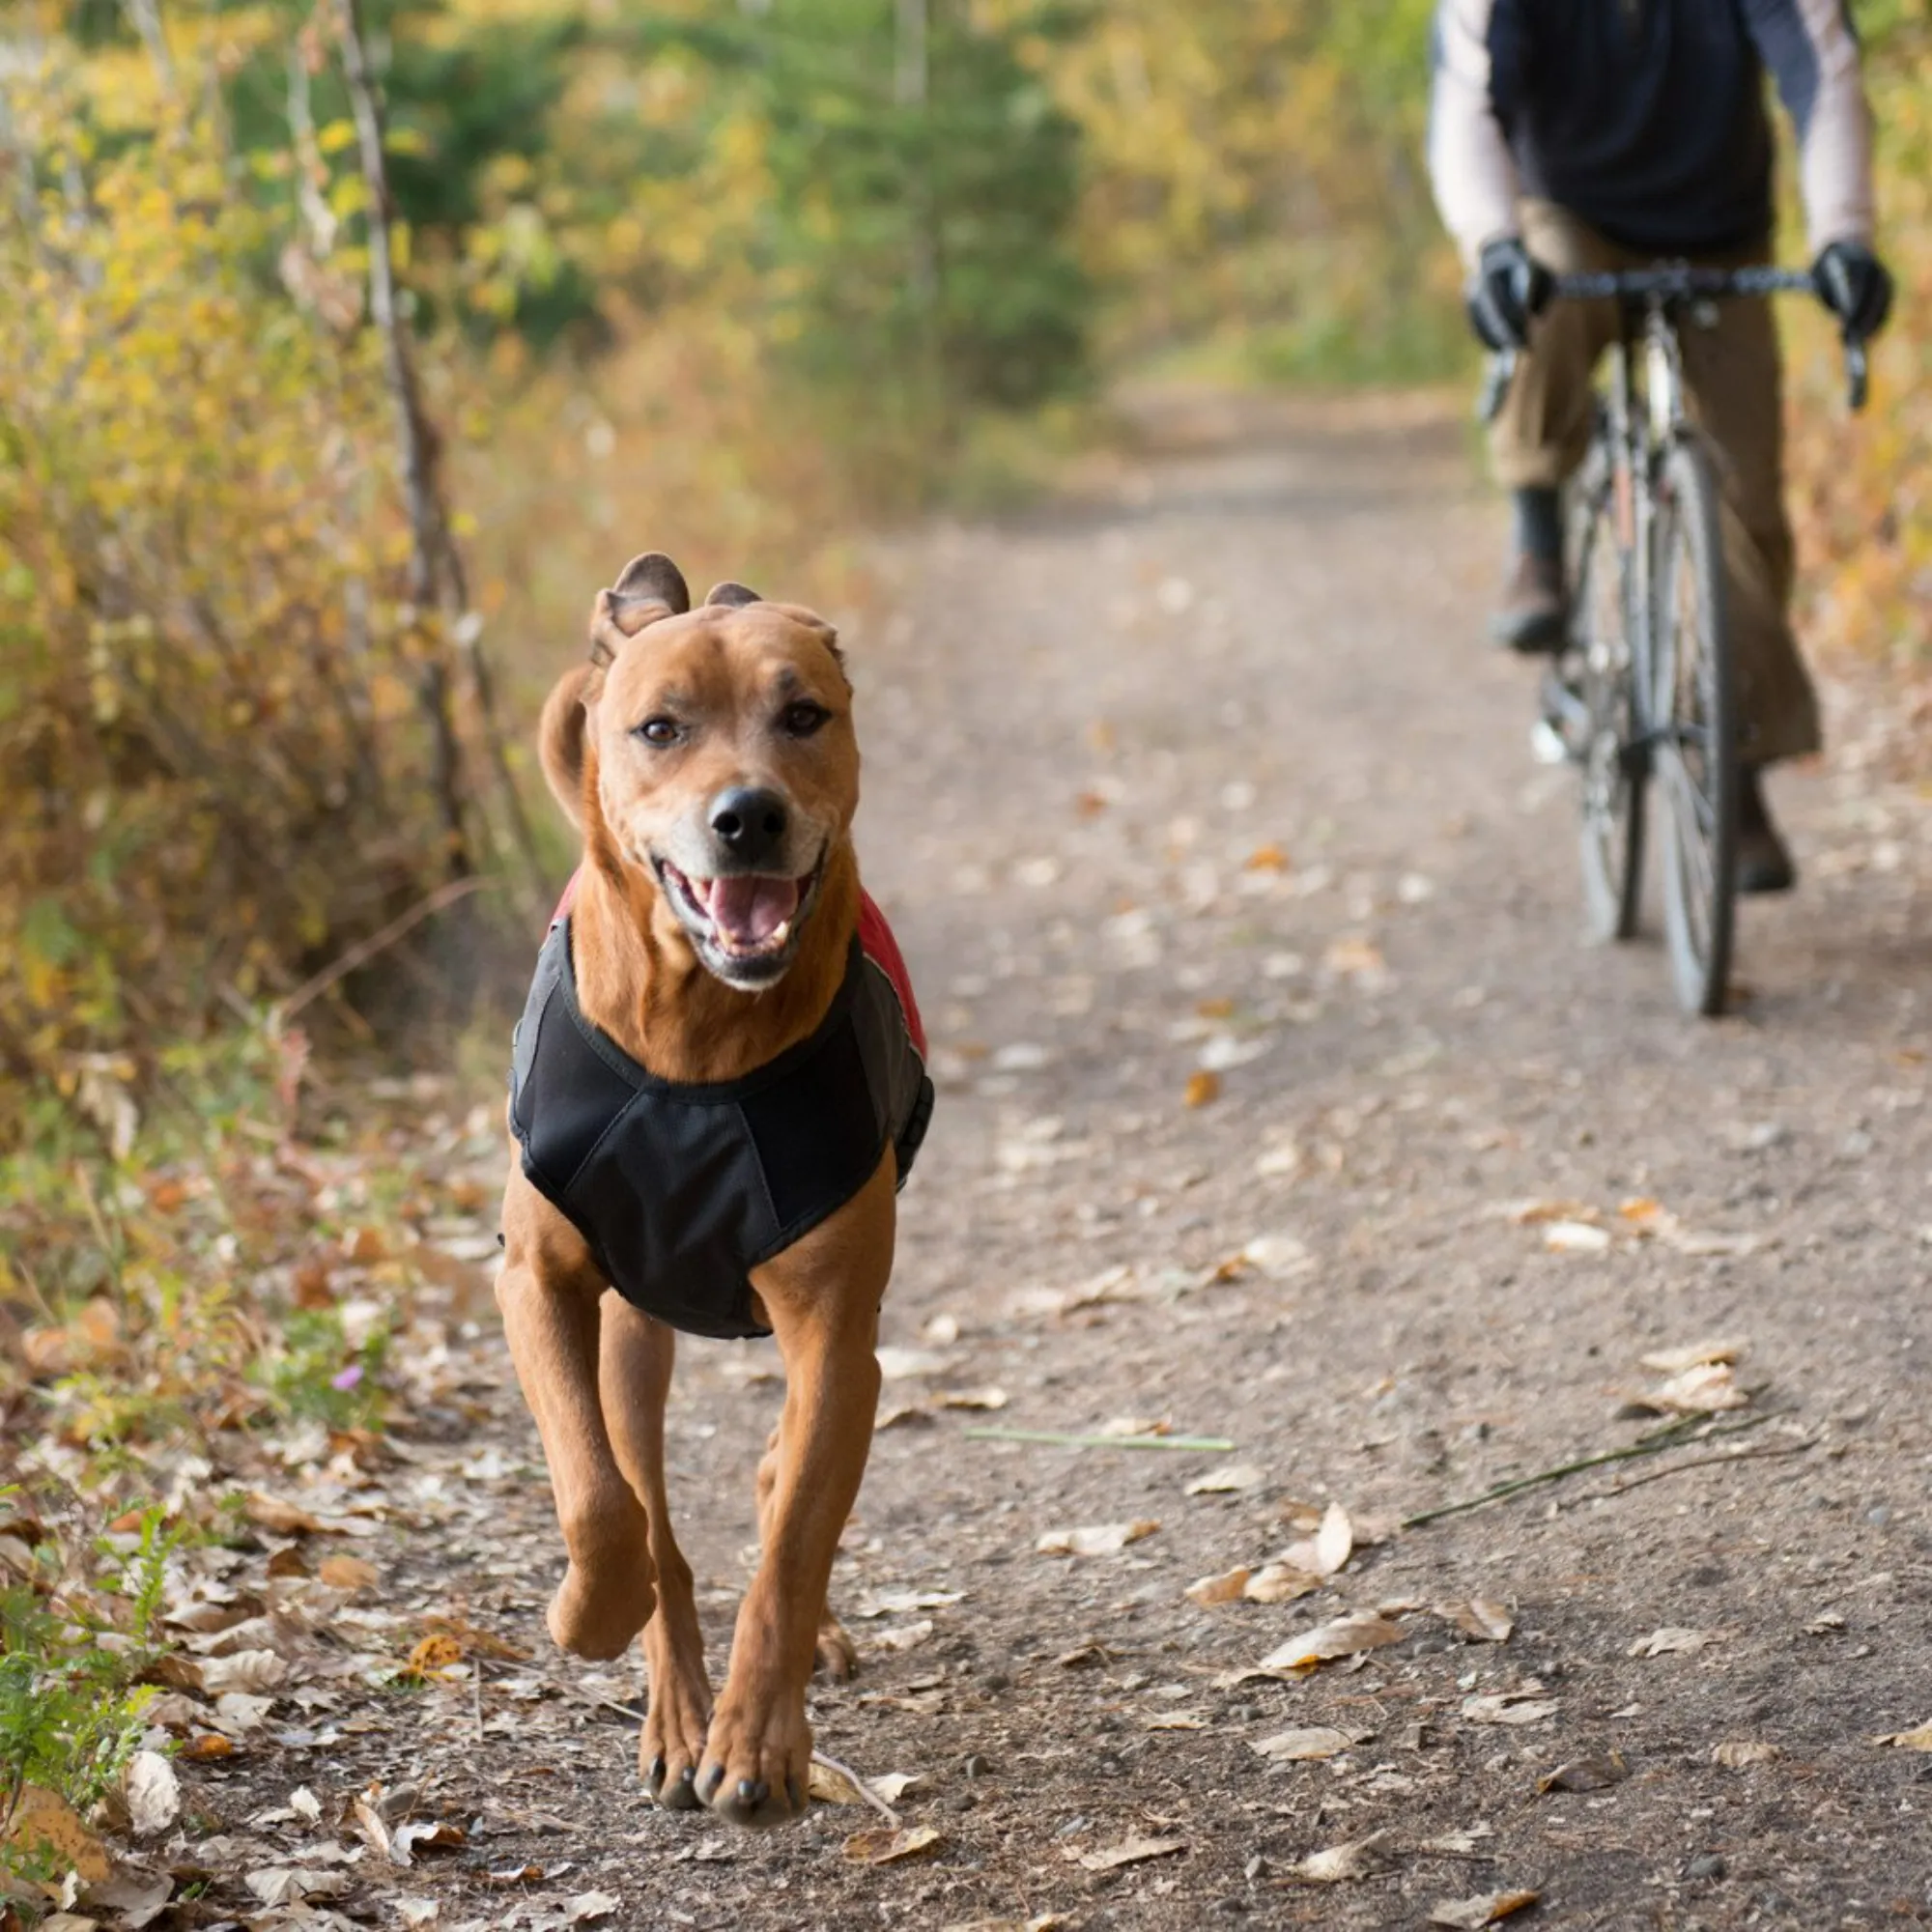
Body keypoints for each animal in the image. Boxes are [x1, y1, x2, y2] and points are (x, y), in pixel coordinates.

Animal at [495, 556, 923, 1824]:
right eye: (659, 728)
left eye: (804, 713)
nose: (747, 816)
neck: (695, 1037)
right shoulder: (537, 1282)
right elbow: (600, 1502)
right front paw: (589, 1612)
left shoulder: (834, 1329)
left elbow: (790, 1546)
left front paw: (758, 1741)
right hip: (635, 1332)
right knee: (648, 1502)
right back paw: (670, 1700)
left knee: (779, 1482)